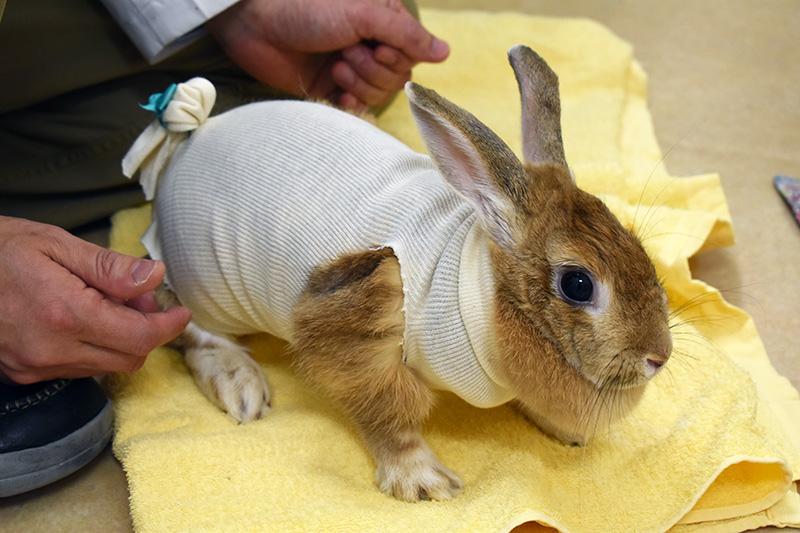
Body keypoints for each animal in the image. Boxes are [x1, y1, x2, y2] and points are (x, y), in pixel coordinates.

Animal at [144, 45, 672, 502]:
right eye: (577, 284)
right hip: (206, 286)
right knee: (189, 331)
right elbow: (387, 419)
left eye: (637, 248)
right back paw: (242, 387)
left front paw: (566, 432)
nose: (658, 357)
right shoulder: (362, 340)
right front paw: (425, 482)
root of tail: (188, 143)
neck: (484, 289)